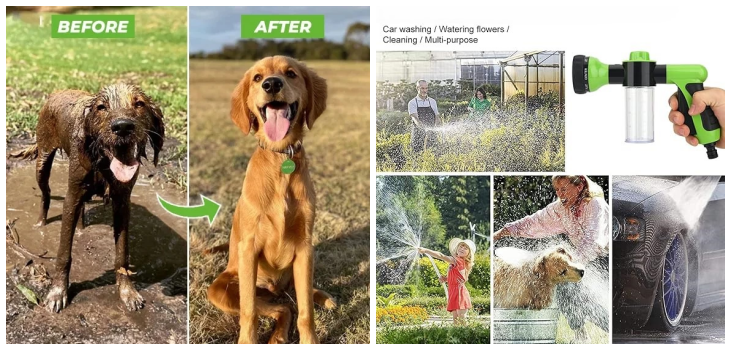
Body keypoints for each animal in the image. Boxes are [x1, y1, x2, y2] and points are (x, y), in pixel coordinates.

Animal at [10, 82, 165, 312]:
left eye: (139, 104)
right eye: (101, 107)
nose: (122, 127)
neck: (102, 161)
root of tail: (58, 92)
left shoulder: (122, 201)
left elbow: (122, 255)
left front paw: (127, 292)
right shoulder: (71, 196)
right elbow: (63, 254)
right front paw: (58, 292)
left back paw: (81, 228)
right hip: (43, 161)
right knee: (46, 194)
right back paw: (40, 223)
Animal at [206, 56, 338, 344]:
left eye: (291, 73)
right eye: (257, 78)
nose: (272, 84)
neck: (280, 158)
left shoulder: (305, 247)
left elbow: (306, 311)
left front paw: (310, 341)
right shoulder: (249, 248)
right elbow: (249, 311)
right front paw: (247, 342)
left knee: (294, 299)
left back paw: (322, 298)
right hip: (222, 288)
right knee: (280, 307)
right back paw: (277, 336)